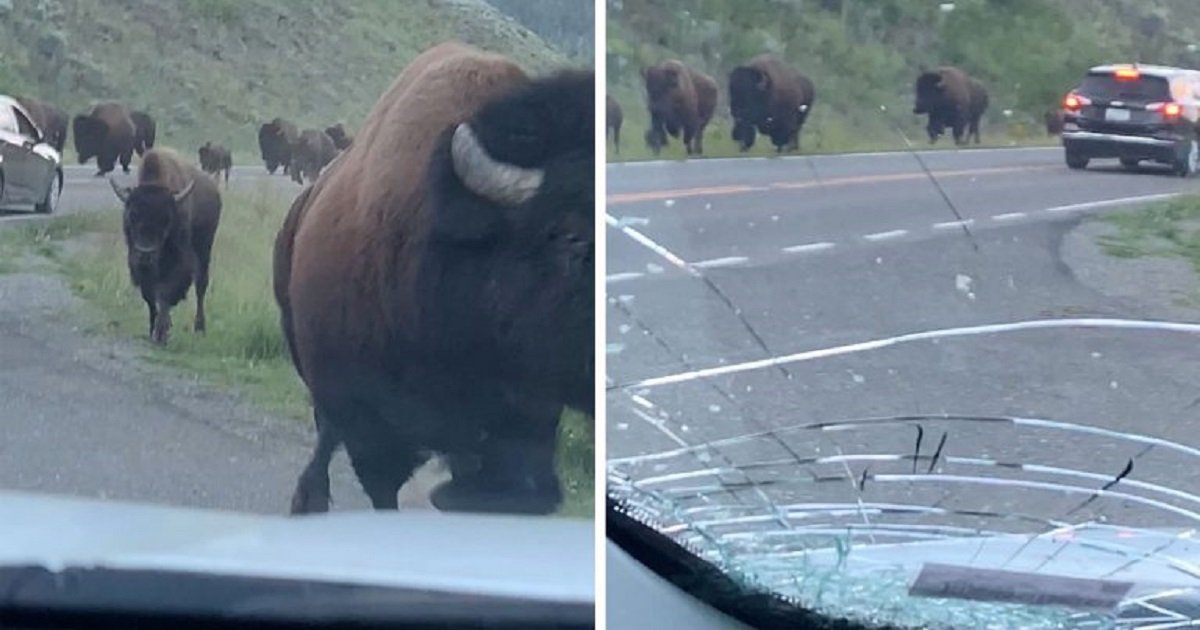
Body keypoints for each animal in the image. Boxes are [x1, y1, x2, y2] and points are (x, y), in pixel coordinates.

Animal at [109, 147, 222, 343]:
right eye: (131, 216)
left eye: (166, 219)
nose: (145, 254)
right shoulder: (138, 266)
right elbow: (150, 297)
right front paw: (153, 329)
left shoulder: (179, 263)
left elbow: (165, 293)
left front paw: (161, 332)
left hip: (204, 249)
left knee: (201, 286)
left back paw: (199, 328)